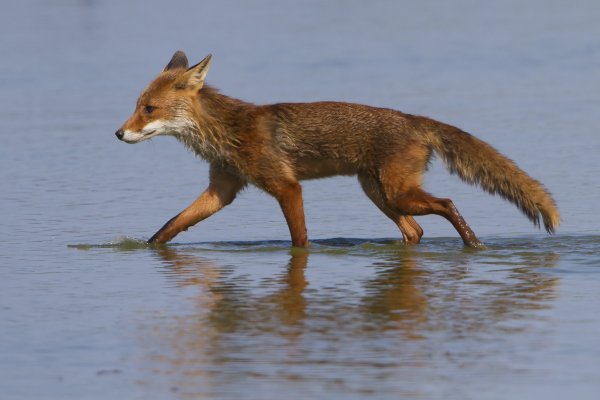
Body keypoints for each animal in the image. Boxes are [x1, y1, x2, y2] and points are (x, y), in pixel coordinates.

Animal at [115, 51, 560, 248]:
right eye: (136, 105)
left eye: (148, 109)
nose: (118, 133)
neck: (226, 132)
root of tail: (412, 118)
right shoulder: (222, 189)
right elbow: (171, 224)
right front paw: (147, 247)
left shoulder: (286, 187)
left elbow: (299, 240)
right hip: (380, 194)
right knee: (415, 231)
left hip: (397, 193)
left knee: (447, 204)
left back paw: (474, 245)